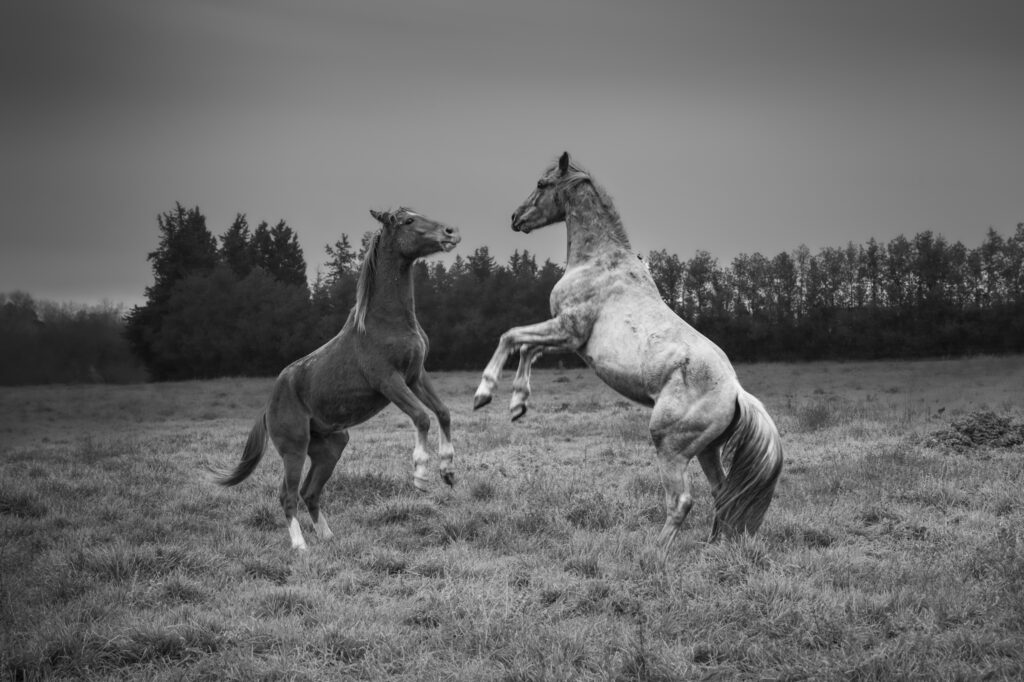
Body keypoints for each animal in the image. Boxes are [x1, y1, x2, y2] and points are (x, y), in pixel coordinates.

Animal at [215, 208, 461, 551]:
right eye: (408, 221)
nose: (451, 233)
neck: (387, 322)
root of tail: (267, 407)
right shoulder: (389, 381)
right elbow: (422, 417)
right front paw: (421, 476)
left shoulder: (415, 376)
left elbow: (443, 412)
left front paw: (448, 470)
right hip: (294, 448)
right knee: (287, 494)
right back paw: (300, 547)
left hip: (331, 447)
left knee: (309, 492)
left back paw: (329, 537)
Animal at [473, 152, 782, 555]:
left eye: (542, 184)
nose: (515, 218)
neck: (597, 262)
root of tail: (736, 393)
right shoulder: (567, 338)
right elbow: (526, 347)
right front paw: (518, 405)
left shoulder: (568, 329)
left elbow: (510, 338)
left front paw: (484, 394)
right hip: (707, 450)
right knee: (722, 493)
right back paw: (711, 548)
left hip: (671, 446)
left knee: (681, 501)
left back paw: (654, 555)